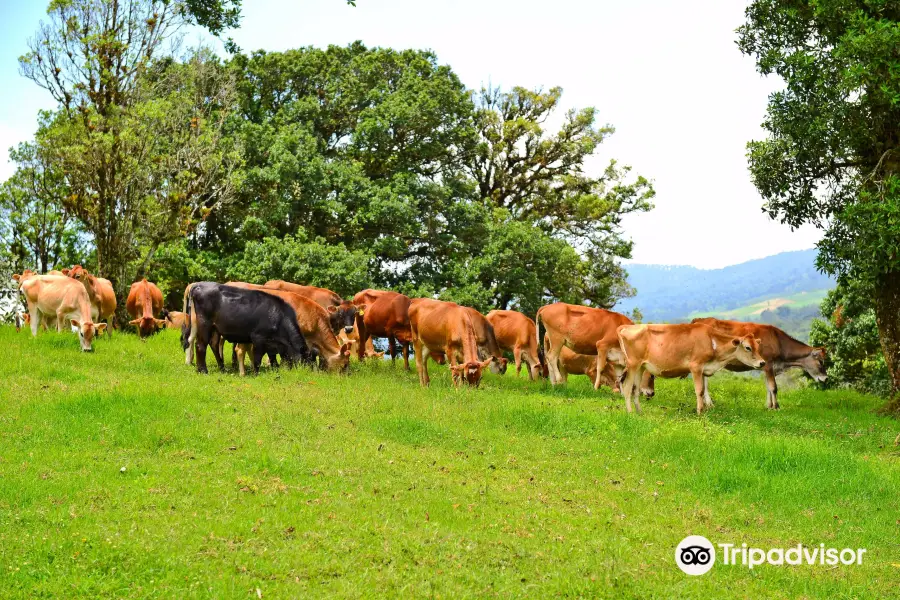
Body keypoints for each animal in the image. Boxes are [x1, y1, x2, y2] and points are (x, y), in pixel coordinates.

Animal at [181, 282, 312, 376]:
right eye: (308, 359)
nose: (309, 372)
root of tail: (199, 285)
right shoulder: (258, 337)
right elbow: (258, 357)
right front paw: (256, 373)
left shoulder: (272, 344)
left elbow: (271, 356)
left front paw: (275, 369)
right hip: (204, 323)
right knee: (200, 345)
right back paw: (203, 370)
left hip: (215, 328)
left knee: (214, 344)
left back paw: (222, 368)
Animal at [620, 324, 768, 418]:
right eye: (748, 347)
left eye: (757, 347)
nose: (762, 362)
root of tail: (626, 327)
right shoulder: (696, 367)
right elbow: (699, 391)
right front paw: (699, 412)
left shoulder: (703, 370)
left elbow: (703, 391)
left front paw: (704, 410)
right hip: (633, 364)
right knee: (627, 387)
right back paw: (630, 413)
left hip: (641, 367)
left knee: (636, 389)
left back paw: (640, 412)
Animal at [688, 316, 828, 410]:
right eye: (821, 362)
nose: (826, 378)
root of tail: (699, 319)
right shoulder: (769, 364)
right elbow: (773, 387)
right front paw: (776, 407)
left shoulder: (767, 367)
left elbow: (768, 387)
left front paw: (768, 406)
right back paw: (709, 404)